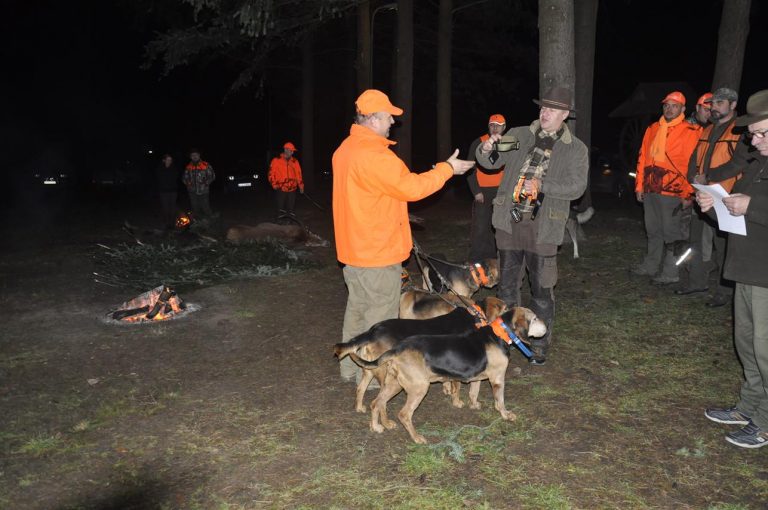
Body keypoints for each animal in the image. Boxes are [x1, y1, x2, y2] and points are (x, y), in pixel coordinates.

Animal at [332, 296, 508, 412]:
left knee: (360, 388)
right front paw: (457, 401)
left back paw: (360, 408)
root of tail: (372, 331)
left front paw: (446, 389)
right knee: (380, 398)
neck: (475, 315)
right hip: (385, 371)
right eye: (505, 309)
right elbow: (456, 385)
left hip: (369, 368)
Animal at [348, 306, 544, 442]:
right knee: (404, 414)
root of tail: (398, 349)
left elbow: (473, 392)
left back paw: (377, 426)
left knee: (376, 403)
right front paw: (506, 415)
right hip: (419, 388)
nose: (547, 327)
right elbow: (500, 401)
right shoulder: (497, 379)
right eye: (534, 318)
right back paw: (417, 438)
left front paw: (474, 405)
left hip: (394, 384)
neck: (499, 332)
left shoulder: (478, 377)